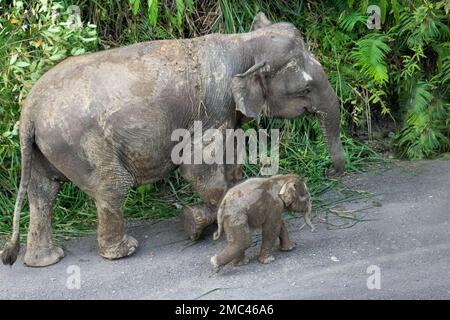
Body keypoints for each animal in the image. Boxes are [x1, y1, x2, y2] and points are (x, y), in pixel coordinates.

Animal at [1, 12, 344, 266]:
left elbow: (230, 162)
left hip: (47, 147)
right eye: (305, 89)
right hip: (81, 143)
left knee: (43, 192)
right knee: (112, 187)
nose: (330, 171)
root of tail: (29, 110)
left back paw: (46, 259)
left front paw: (201, 217)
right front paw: (197, 221)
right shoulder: (214, 106)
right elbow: (197, 167)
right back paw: (124, 250)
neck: (242, 43)